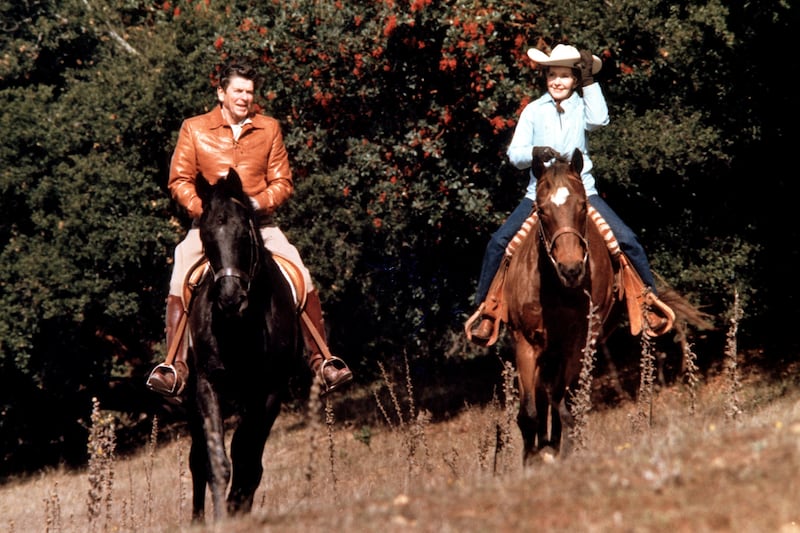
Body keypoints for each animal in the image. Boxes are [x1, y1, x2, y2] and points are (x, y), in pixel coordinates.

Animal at [506, 148, 620, 464]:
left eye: (582, 206)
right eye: (541, 211)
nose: (571, 270)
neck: (556, 290)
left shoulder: (577, 344)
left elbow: (564, 404)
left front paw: (562, 451)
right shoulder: (526, 344)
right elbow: (529, 412)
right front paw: (531, 459)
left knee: (557, 399)